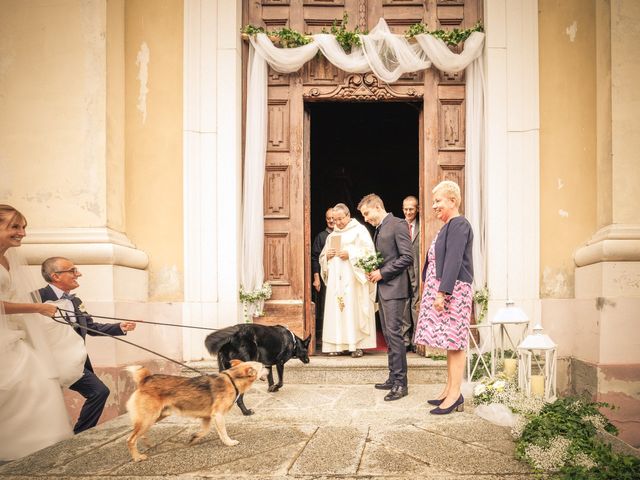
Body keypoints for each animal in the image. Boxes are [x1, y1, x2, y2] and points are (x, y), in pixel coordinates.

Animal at [126, 360, 266, 462]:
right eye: (263, 366)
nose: (269, 367)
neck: (232, 380)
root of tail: (145, 379)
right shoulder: (218, 415)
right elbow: (223, 432)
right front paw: (229, 442)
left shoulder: (207, 417)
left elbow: (205, 430)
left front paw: (195, 437)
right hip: (149, 417)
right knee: (131, 439)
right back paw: (137, 457)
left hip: (157, 416)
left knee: (139, 433)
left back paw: (147, 443)